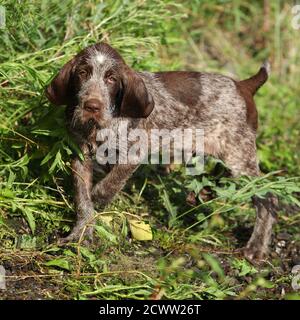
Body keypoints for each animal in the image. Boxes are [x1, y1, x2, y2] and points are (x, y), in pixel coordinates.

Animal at [45, 43, 278, 262]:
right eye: (82, 73)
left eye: (111, 79)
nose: (92, 106)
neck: (98, 128)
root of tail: (243, 86)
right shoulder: (80, 157)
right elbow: (82, 199)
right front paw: (80, 233)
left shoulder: (134, 154)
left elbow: (108, 185)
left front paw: (98, 199)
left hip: (239, 157)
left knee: (268, 198)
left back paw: (256, 247)